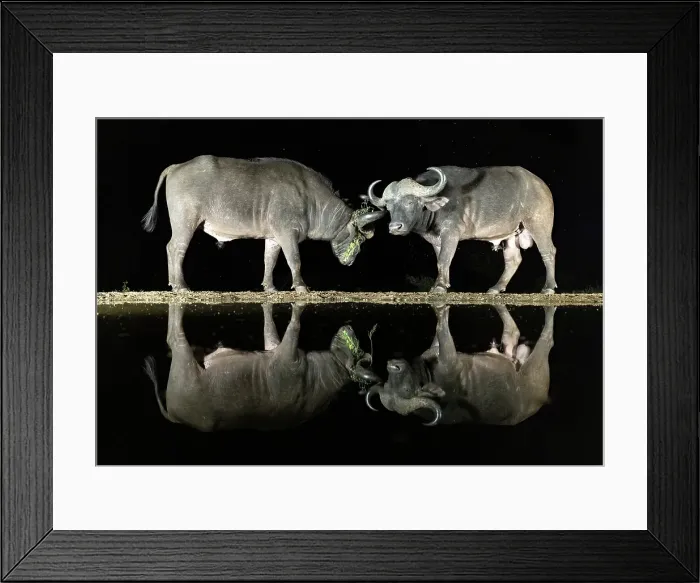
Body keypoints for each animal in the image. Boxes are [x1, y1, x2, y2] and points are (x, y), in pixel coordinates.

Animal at [141, 155, 386, 291]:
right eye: (359, 238)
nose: (350, 262)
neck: (310, 197)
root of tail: (177, 166)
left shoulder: (274, 239)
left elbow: (270, 262)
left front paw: (270, 287)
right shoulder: (288, 235)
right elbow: (295, 261)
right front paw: (301, 286)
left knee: (171, 248)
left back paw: (174, 284)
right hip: (186, 223)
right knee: (175, 248)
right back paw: (181, 285)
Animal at [143, 302, 380, 432]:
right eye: (360, 354)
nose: (349, 328)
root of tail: (174, 416)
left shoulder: (289, 358)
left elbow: (290, 330)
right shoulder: (283, 353)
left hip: (184, 368)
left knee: (175, 340)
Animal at [363, 166, 557, 294]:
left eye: (410, 202)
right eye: (389, 206)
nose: (395, 227)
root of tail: (541, 185)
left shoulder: (451, 233)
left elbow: (444, 259)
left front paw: (439, 287)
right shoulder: (436, 240)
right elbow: (440, 261)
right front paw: (443, 283)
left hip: (538, 224)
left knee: (548, 251)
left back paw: (548, 288)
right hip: (510, 234)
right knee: (513, 259)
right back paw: (496, 288)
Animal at [365, 304, 556, 426]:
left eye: (387, 383)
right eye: (404, 390)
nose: (392, 365)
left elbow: (438, 334)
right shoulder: (449, 358)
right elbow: (442, 330)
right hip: (535, 364)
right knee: (545, 339)